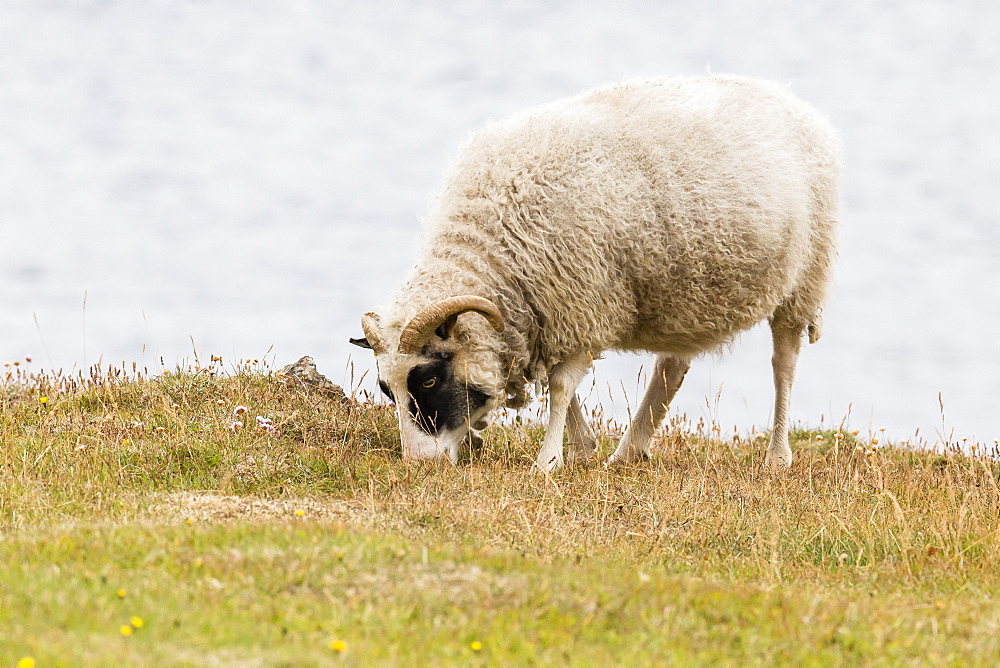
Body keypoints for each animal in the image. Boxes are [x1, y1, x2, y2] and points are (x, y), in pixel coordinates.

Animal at [350, 74, 836, 470]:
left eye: (429, 378)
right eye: (385, 389)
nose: (419, 464)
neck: (492, 241)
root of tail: (787, 98)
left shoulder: (580, 299)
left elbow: (562, 386)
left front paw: (548, 462)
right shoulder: (551, 311)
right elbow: (557, 384)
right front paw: (581, 449)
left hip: (805, 277)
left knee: (784, 363)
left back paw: (777, 456)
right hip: (685, 290)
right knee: (673, 364)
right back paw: (629, 451)